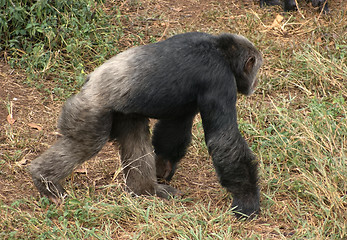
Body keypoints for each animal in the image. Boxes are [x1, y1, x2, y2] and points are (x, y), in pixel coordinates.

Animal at [29, 32, 264, 219]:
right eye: (256, 68)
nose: (256, 82)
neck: (221, 50)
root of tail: (86, 83)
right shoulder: (220, 80)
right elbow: (224, 140)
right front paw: (247, 199)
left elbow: (175, 126)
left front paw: (163, 166)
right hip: (89, 111)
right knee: (86, 143)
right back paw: (45, 181)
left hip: (122, 114)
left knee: (135, 138)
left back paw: (146, 190)